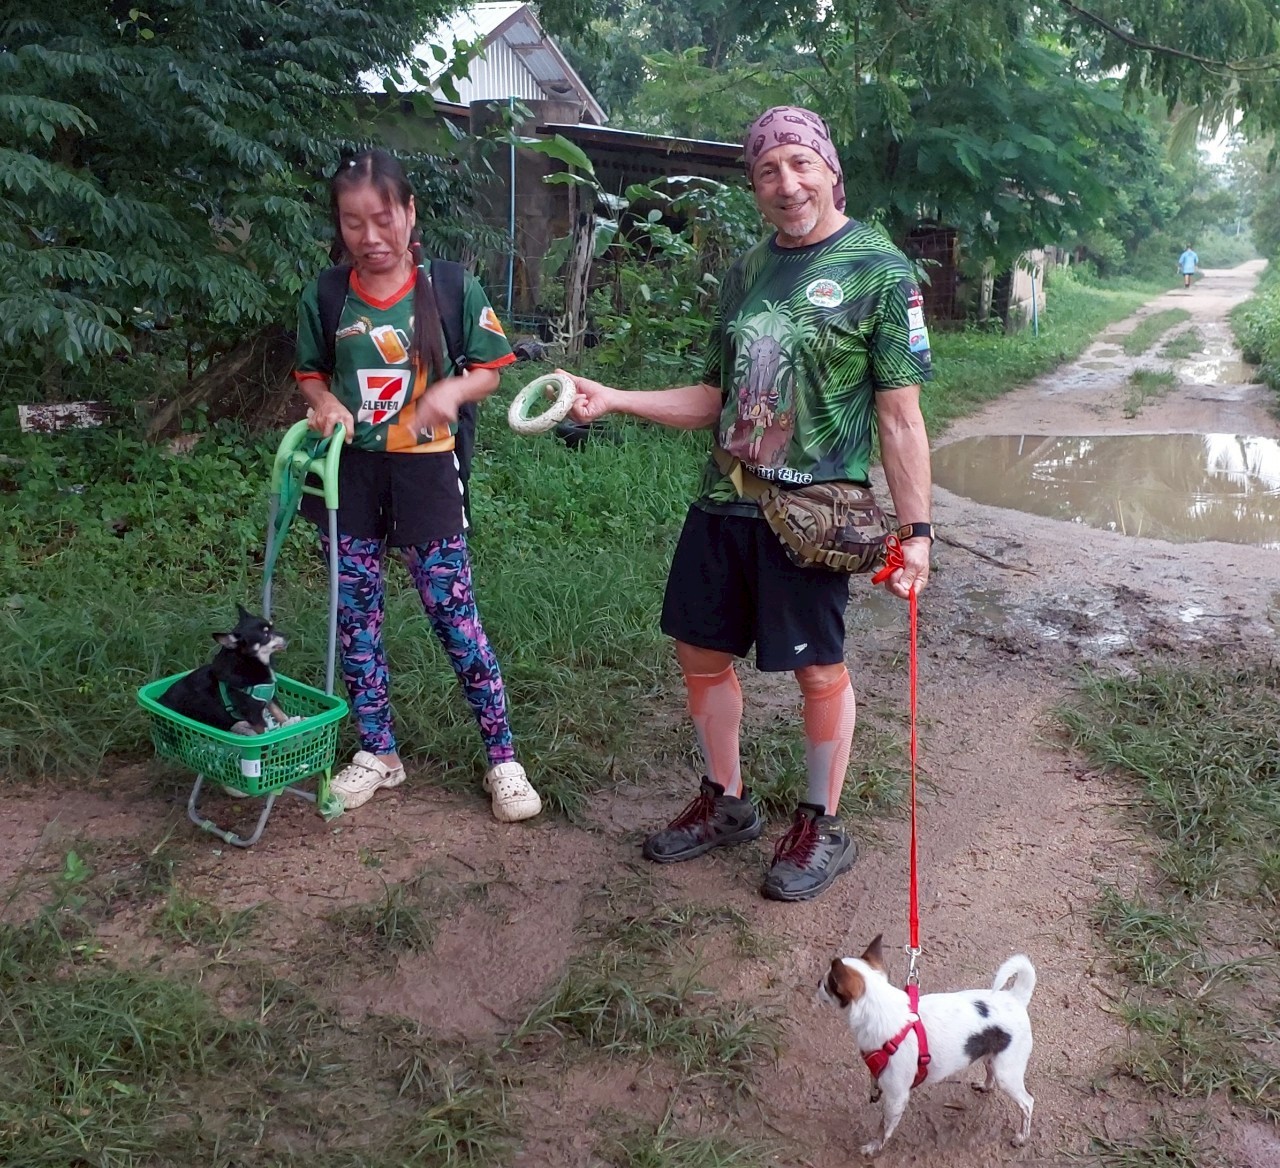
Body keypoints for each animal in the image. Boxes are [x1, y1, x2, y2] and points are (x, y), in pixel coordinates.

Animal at [158, 606, 292, 735]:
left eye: (273, 627)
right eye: (266, 635)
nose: (287, 635)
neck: (251, 661)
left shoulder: (270, 697)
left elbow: (281, 714)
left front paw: (290, 725)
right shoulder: (254, 715)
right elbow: (265, 731)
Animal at [818, 934, 1035, 1156]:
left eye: (827, 984)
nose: (818, 982)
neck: (881, 1010)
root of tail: (1015, 997)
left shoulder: (896, 1098)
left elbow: (883, 1127)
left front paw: (874, 1147)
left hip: (1007, 1075)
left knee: (1027, 1103)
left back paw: (1022, 1137)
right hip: (992, 1057)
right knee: (990, 1070)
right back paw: (986, 1086)